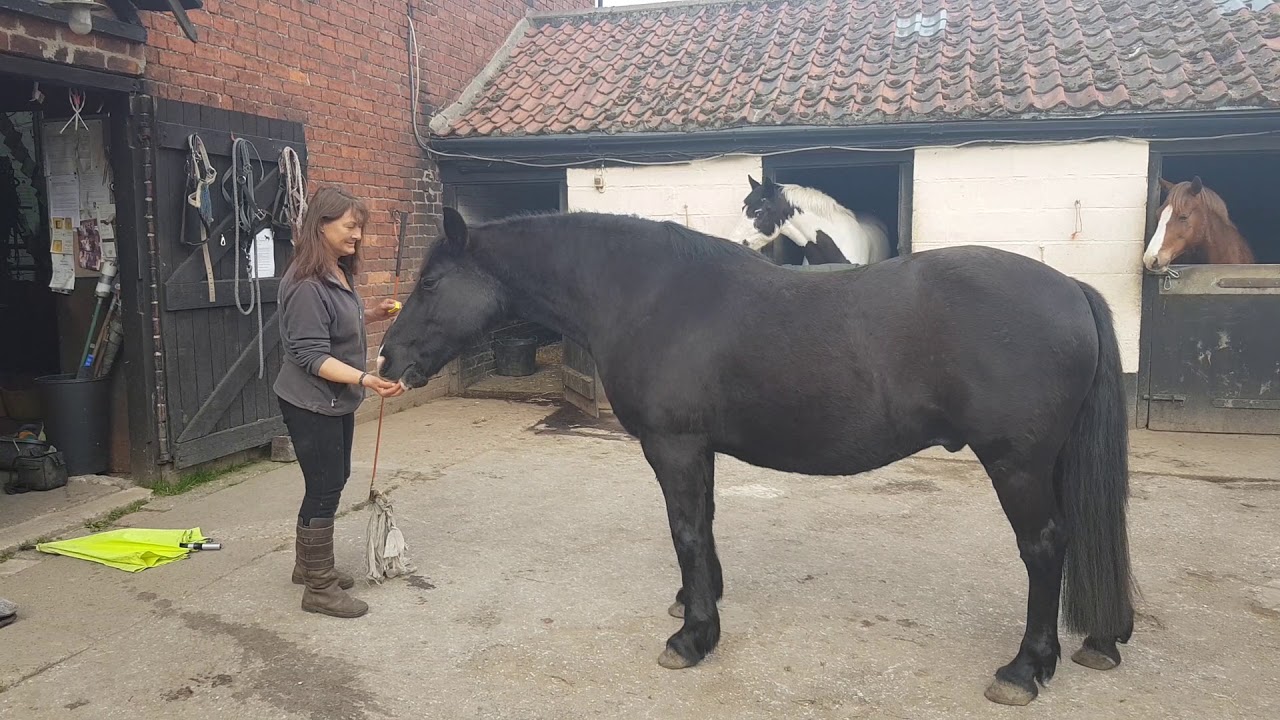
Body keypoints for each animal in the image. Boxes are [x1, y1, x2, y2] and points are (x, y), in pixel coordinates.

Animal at [378, 207, 1137, 707]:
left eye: (429, 284)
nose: (387, 358)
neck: (650, 296)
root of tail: (1071, 289)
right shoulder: (699, 448)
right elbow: (705, 525)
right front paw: (699, 601)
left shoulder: (674, 445)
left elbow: (686, 530)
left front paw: (693, 637)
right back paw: (1099, 640)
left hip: (1017, 466)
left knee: (1044, 546)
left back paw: (1024, 669)